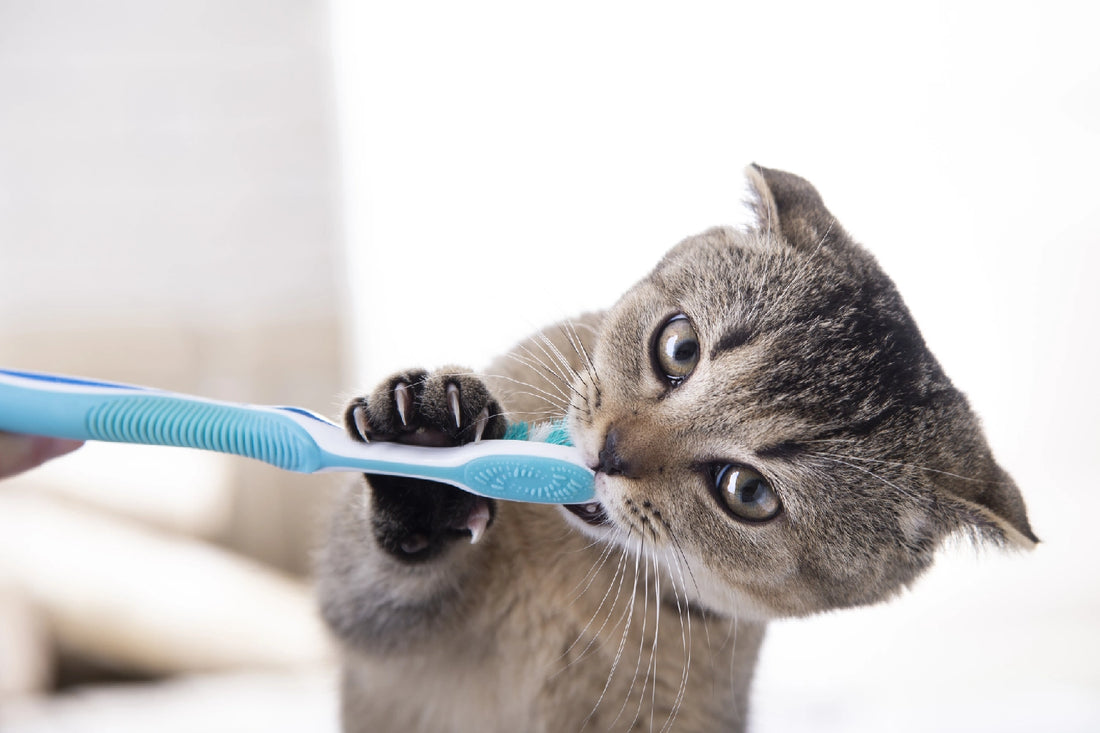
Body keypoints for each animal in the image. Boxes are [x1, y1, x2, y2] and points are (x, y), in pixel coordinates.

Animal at [314, 165, 1034, 730]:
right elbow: (368, 584)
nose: (609, 453)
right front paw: (426, 455)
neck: (582, 572)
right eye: (680, 347)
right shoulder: (374, 639)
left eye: (747, 491)